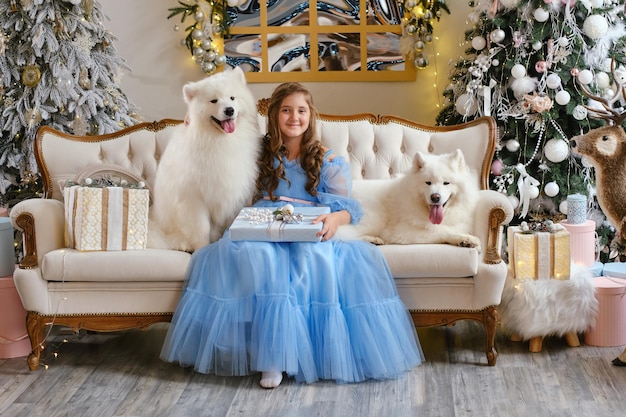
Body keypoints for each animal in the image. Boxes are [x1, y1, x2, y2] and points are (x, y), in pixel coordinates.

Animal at [147, 67, 260, 250]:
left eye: (232, 98)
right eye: (214, 101)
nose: (229, 110)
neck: (219, 140)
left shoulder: (234, 195)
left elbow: (231, 223)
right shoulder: (194, 200)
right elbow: (201, 229)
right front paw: (201, 250)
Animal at [334, 149, 480, 250]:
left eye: (446, 183)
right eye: (428, 183)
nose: (435, 197)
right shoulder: (403, 232)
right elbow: (442, 231)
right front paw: (467, 239)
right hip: (375, 217)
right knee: (342, 236)